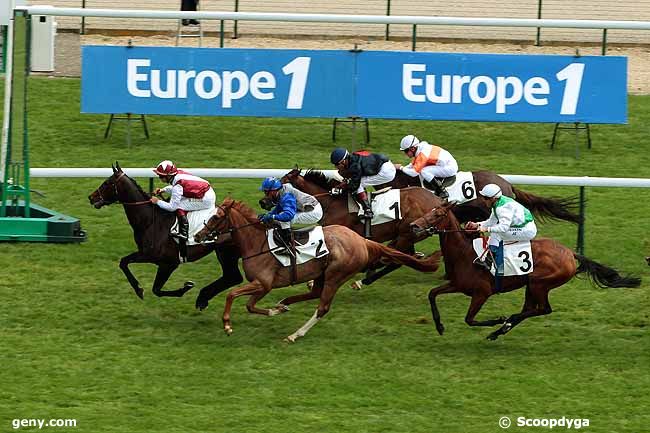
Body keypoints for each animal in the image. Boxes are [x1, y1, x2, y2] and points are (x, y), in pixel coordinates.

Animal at [87, 161, 242, 308]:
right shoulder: (147, 255)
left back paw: (203, 298)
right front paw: (139, 289)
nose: (91, 197)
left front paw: (185, 287)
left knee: (233, 277)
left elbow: (156, 289)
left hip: (226, 252)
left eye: (107, 182)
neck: (150, 221)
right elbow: (124, 262)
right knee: (233, 277)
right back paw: (203, 298)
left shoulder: (168, 263)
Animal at [190, 197, 438, 342]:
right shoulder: (262, 286)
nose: (199, 236)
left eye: (215, 217)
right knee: (314, 293)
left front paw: (227, 325)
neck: (255, 243)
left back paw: (295, 333)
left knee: (322, 307)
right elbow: (249, 305)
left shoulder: (263, 284)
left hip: (335, 275)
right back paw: (285, 303)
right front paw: (275, 310)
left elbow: (234, 296)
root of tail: (363, 241)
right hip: (322, 273)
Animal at [274, 169, 446, 286]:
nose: (266, 202)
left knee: (396, 260)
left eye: (281, 183)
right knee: (401, 256)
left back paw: (365, 278)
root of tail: (438, 201)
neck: (332, 202)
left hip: (408, 234)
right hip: (407, 235)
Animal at [410, 201, 636, 340]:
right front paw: (439, 326)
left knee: (543, 309)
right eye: (429, 211)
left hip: (540, 283)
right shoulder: (457, 284)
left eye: (438, 214)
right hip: (531, 285)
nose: (414, 225)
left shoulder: (482, 292)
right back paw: (503, 328)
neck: (464, 254)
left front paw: (498, 319)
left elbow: (470, 319)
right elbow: (432, 294)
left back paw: (505, 323)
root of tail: (571, 253)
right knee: (530, 308)